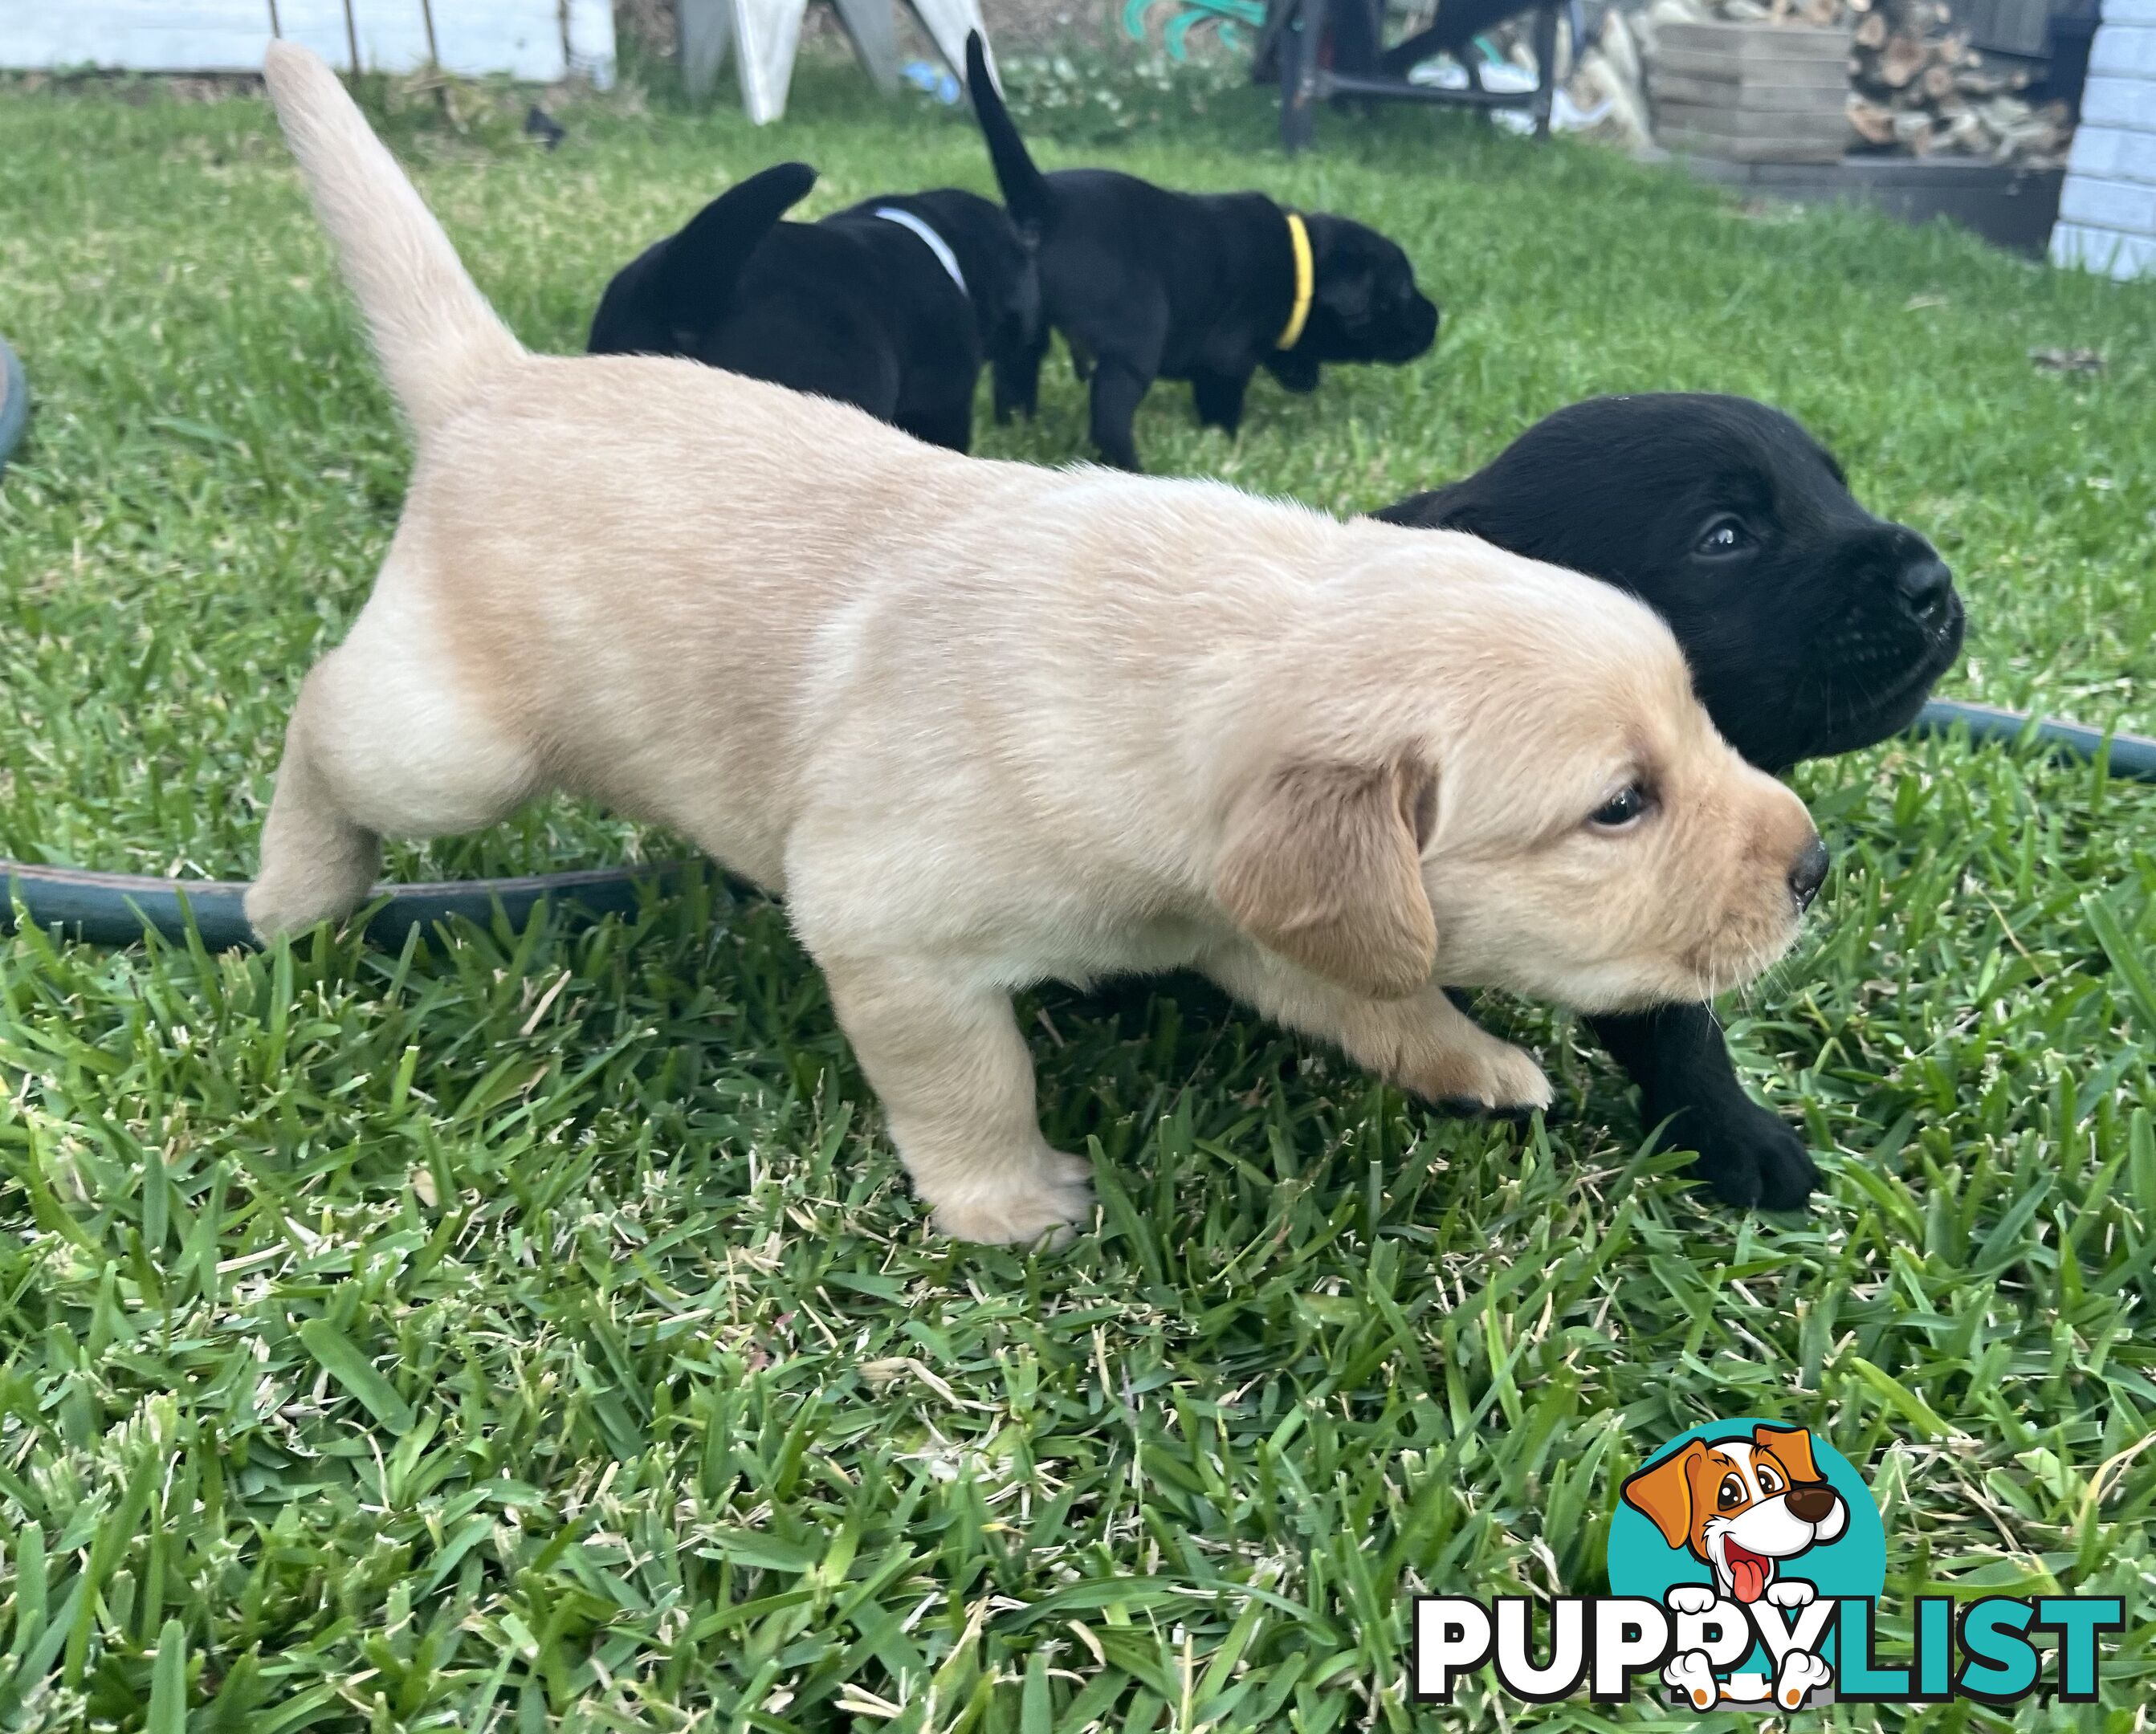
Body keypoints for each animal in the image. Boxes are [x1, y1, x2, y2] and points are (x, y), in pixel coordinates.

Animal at [961, 39, 1431, 474]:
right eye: (1401, 294)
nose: (1436, 320)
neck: (1304, 267)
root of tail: (1045, 202)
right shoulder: (1227, 357)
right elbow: (1222, 403)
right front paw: (1228, 443)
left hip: (1026, 328)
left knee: (1015, 376)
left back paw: (1015, 433)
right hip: (1136, 341)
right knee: (1109, 416)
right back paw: (1133, 469)